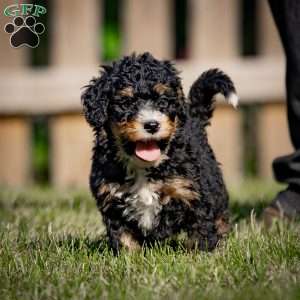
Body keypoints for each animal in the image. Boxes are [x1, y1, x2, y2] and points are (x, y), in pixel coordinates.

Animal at [81, 52, 238, 253]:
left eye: (163, 102)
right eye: (126, 103)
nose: (152, 124)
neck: (143, 167)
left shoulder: (193, 192)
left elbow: (200, 228)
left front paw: (202, 254)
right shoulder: (112, 201)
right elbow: (123, 237)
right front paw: (129, 257)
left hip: (214, 185)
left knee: (220, 215)